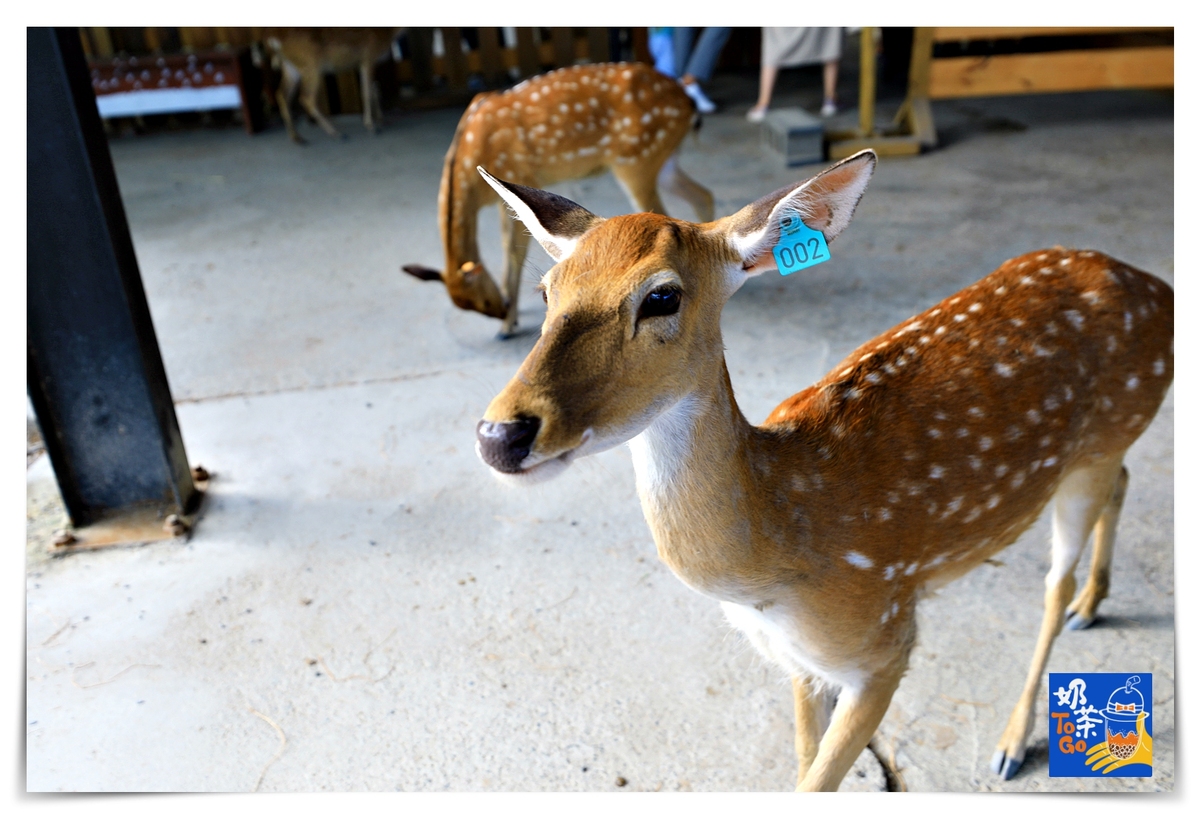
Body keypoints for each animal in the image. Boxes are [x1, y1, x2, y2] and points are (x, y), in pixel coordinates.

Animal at [261, 27, 400, 143]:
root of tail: (273, 40)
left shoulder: (362, 62)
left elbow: (375, 88)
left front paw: (381, 120)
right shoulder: (368, 56)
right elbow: (366, 91)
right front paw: (372, 126)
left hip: (290, 67)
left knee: (281, 94)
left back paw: (297, 138)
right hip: (311, 64)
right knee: (306, 97)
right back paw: (337, 133)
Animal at [403, 62, 710, 338]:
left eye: (484, 300)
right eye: (476, 305)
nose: (502, 310)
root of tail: (688, 104)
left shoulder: (521, 174)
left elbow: (513, 251)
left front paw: (508, 325)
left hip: (636, 159)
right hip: (663, 159)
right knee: (702, 194)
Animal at [468, 149, 1171, 786]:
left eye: (662, 296)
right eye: (546, 292)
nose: (500, 433)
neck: (782, 548)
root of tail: (1155, 288)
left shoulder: (884, 642)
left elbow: (820, 777)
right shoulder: (799, 662)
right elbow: (804, 765)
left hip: (1098, 443)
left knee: (1053, 580)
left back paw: (1014, 737)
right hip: (1101, 451)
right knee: (1123, 483)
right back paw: (1092, 603)